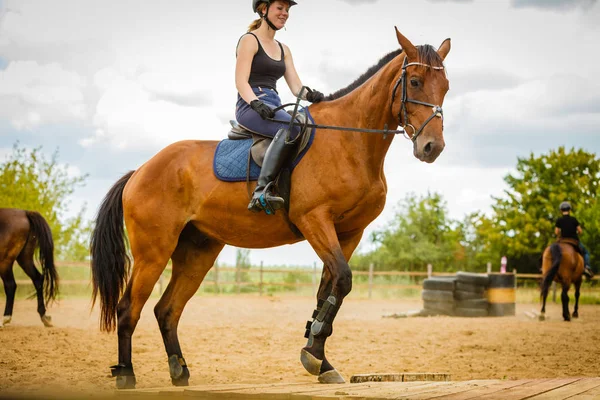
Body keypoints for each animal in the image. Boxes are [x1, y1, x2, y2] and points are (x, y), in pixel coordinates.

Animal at [91, 27, 452, 388]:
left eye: (446, 86)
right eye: (415, 82)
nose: (432, 147)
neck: (350, 141)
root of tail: (140, 171)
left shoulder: (350, 232)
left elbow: (330, 289)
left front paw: (319, 358)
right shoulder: (314, 220)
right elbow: (343, 280)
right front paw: (314, 353)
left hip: (198, 253)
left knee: (167, 309)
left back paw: (179, 370)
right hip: (153, 252)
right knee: (128, 309)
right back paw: (126, 373)